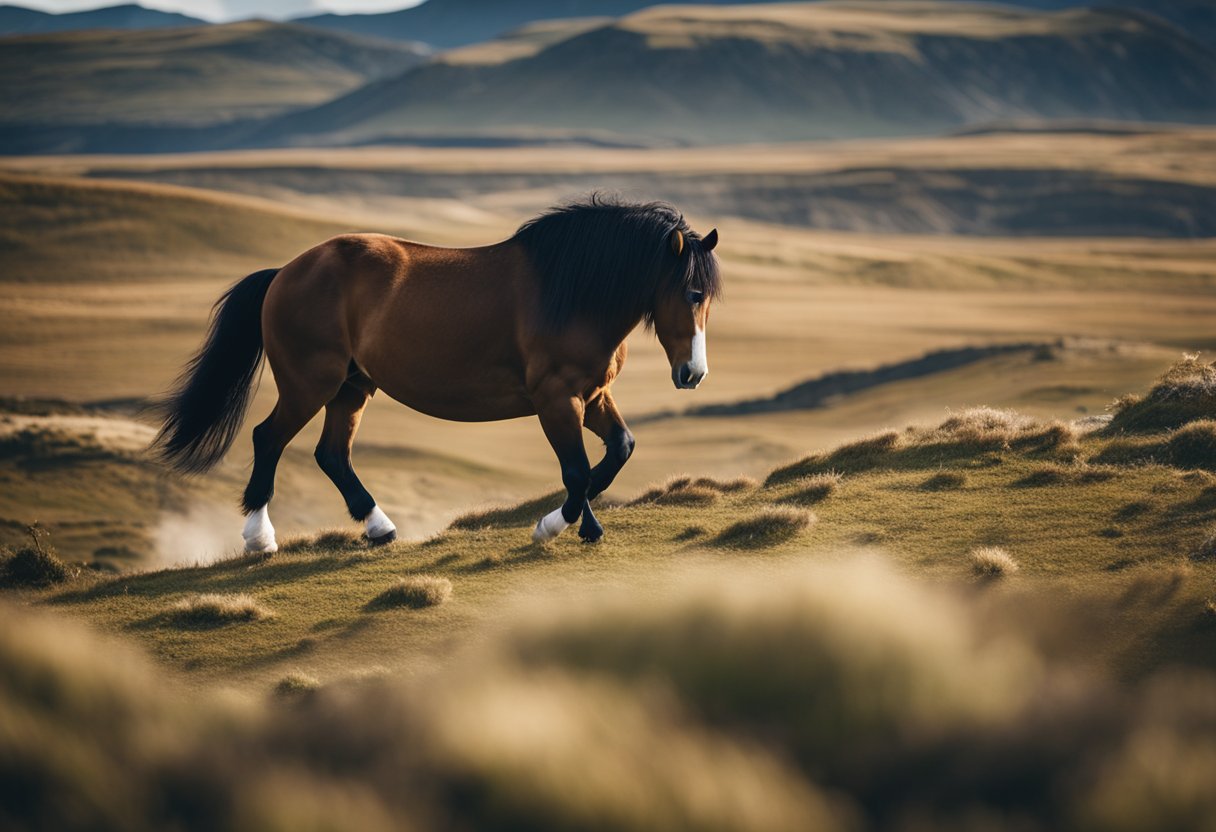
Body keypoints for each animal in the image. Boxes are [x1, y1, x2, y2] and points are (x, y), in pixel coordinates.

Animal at [155, 197, 715, 552]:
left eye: (707, 297)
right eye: (692, 293)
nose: (693, 373)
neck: (573, 294)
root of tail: (285, 273)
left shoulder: (593, 395)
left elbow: (617, 452)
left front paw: (584, 524)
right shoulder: (556, 398)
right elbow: (576, 472)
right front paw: (552, 525)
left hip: (351, 387)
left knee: (332, 454)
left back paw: (378, 528)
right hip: (309, 383)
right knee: (268, 438)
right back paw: (260, 538)